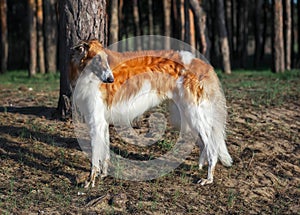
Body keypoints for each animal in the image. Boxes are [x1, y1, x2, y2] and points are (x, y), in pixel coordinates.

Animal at [69, 39, 232, 187]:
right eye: (97, 59)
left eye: (106, 59)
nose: (110, 79)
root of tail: (203, 64)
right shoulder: (102, 122)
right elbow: (105, 154)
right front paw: (103, 174)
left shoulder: (96, 121)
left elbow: (94, 158)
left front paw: (90, 181)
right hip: (183, 117)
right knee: (204, 144)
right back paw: (201, 165)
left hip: (194, 115)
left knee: (212, 147)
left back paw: (208, 178)